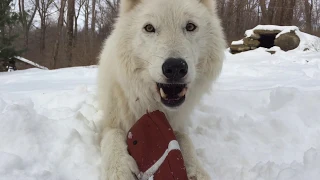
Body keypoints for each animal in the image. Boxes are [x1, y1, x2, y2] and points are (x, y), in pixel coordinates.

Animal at [97, 0, 225, 178]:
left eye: (190, 26)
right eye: (149, 28)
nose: (175, 67)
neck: (151, 105)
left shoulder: (177, 123)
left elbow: (185, 140)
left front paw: (197, 172)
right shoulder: (111, 123)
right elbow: (113, 137)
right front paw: (119, 172)